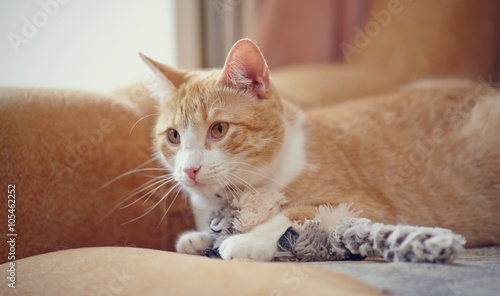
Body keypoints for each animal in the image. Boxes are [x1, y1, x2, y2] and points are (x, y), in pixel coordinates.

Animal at [140, 38, 500, 260]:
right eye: (174, 136)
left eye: (218, 129)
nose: (189, 169)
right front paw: (201, 237)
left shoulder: (361, 205)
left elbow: (292, 213)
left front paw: (246, 238)